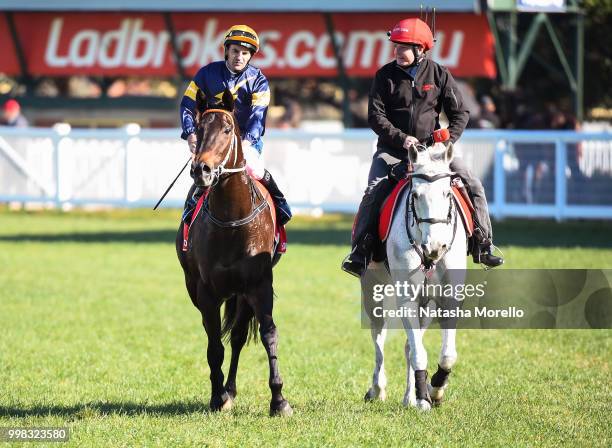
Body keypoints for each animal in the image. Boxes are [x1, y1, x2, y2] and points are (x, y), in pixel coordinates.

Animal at [176, 90, 292, 416]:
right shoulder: (206, 291)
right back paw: (225, 391)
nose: (201, 170)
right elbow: (214, 345)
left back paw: (231, 388)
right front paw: (217, 397)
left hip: (242, 293)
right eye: (198, 129)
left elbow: (268, 334)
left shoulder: (259, 284)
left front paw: (279, 400)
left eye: (227, 130)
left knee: (239, 336)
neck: (231, 220)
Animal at [360, 142, 466, 412]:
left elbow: (446, 354)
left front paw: (434, 390)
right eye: (415, 195)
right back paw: (377, 389)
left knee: (409, 343)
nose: (435, 247)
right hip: (372, 290)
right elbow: (418, 352)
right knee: (379, 337)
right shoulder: (407, 298)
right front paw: (423, 398)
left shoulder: (446, 299)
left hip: (425, 305)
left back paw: (410, 395)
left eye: (447, 194)